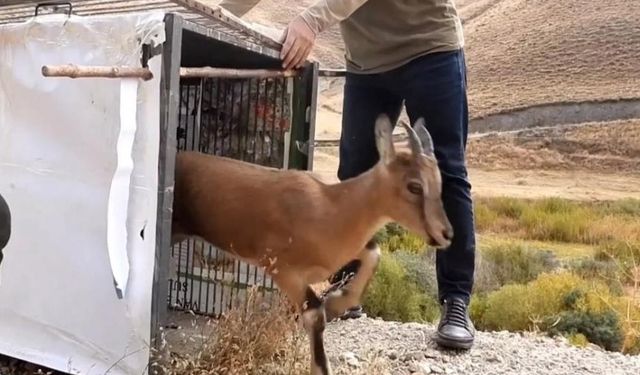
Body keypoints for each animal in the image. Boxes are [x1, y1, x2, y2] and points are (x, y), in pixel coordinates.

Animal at [168, 115, 452, 375]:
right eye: (415, 186)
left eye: (439, 181)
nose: (446, 234)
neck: (330, 206)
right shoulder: (283, 271)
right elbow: (315, 313)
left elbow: (373, 253)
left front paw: (337, 302)